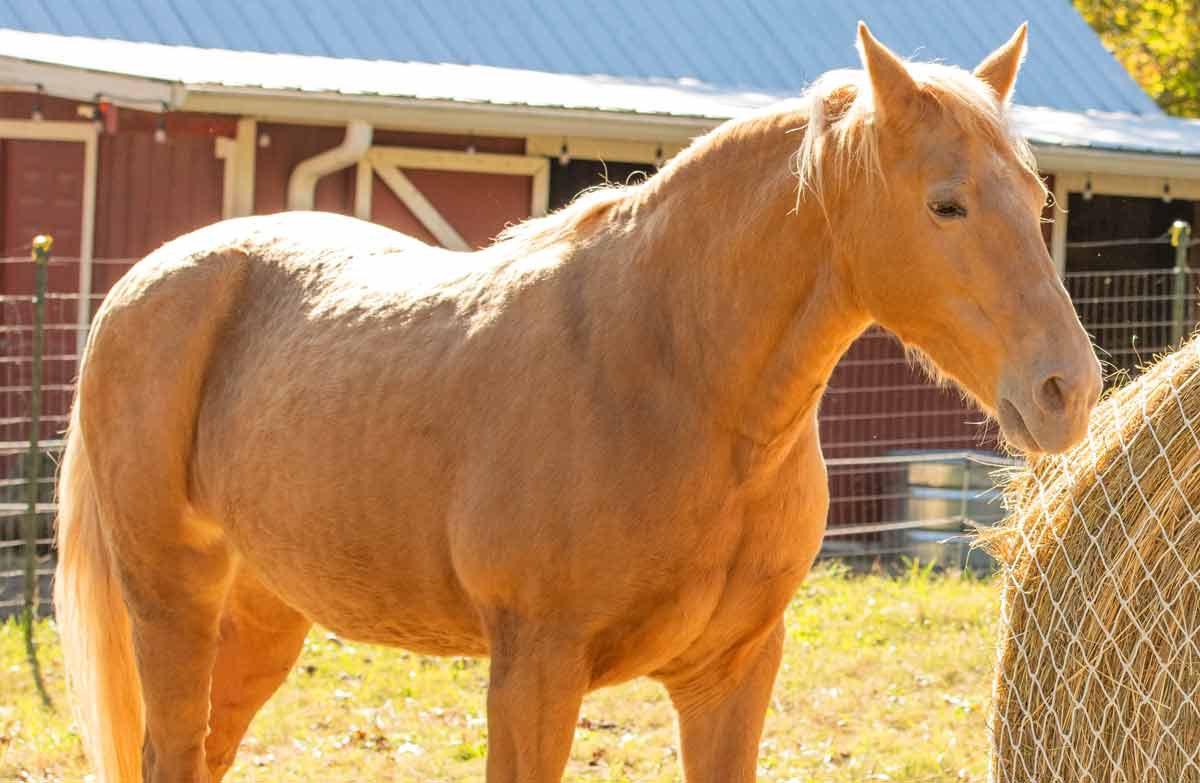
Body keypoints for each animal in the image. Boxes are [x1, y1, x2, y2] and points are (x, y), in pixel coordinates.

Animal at [54, 22, 1100, 783]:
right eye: (945, 203)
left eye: (1036, 194)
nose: (1068, 388)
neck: (671, 380)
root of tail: (144, 282)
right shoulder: (534, 673)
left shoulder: (733, 673)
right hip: (171, 602)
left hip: (264, 616)